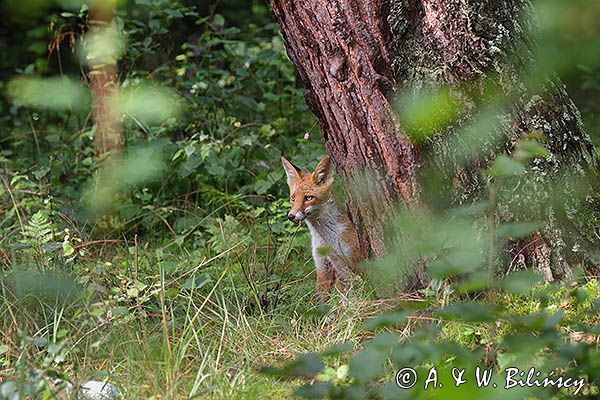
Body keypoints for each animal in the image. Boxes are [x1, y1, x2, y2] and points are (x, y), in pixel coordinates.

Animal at [282, 155, 360, 302]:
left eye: (308, 198)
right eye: (292, 198)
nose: (291, 216)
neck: (326, 239)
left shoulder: (351, 263)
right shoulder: (323, 266)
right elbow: (321, 301)